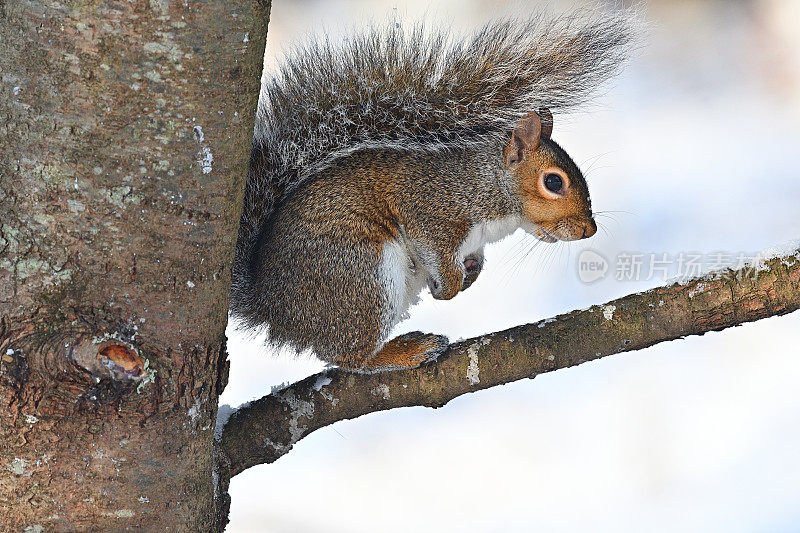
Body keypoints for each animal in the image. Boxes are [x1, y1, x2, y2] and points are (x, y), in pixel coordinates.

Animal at [228, 11, 636, 370]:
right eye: (553, 182)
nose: (589, 229)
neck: (487, 186)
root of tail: (270, 306)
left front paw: (469, 273)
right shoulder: (430, 209)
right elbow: (434, 248)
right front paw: (449, 287)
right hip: (360, 272)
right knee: (350, 357)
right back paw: (405, 352)